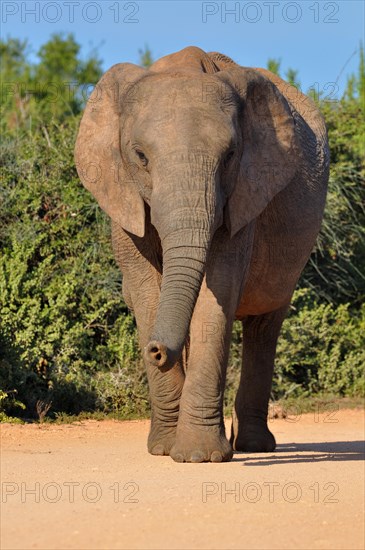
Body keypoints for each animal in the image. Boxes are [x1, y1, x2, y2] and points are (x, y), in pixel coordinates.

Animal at [75, 47, 328, 464]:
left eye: (230, 155)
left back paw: (253, 446)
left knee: (265, 324)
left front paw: (199, 457)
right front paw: (164, 450)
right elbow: (147, 293)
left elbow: (217, 293)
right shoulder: (123, 198)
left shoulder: (243, 195)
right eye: (140, 156)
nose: (156, 350)